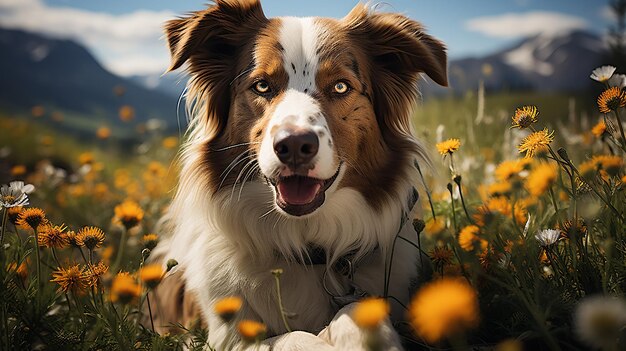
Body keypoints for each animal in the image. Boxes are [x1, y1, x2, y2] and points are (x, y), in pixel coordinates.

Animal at [150, 1, 444, 350]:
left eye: (340, 86)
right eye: (262, 85)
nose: (293, 145)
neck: (304, 242)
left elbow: (355, 309)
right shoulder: (225, 338)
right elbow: (293, 337)